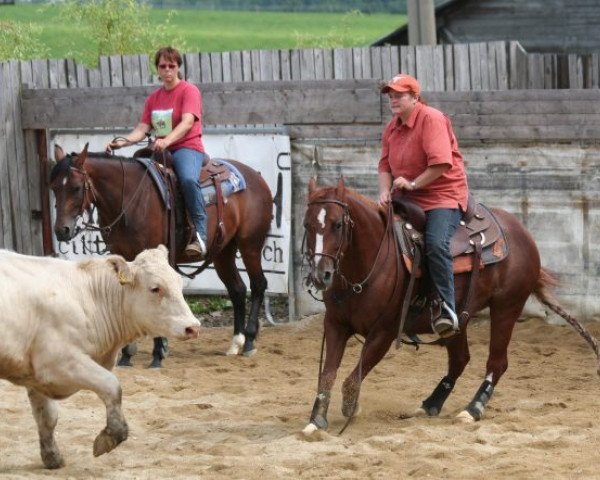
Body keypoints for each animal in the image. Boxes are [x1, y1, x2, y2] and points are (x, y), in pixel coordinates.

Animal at [0, 246, 202, 470]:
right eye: (155, 288)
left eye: (179, 283)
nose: (193, 327)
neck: (88, 299)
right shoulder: (59, 364)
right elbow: (111, 386)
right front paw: (111, 436)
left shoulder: (35, 376)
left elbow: (47, 417)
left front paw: (52, 457)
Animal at [51, 144, 272, 366]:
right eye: (53, 188)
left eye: (76, 188)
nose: (62, 230)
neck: (129, 199)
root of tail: (256, 177)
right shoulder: (122, 256)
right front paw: (126, 355)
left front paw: (158, 353)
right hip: (223, 251)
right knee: (238, 289)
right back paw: (236, 342)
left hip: (250, 245)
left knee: (258, 284)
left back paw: (249, 341)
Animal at [302, 178, 600, 434]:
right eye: (306, 225)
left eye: (337, 224)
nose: (320, 275)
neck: (368, 264)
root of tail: (521, 232)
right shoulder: (335, 325)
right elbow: (327, 373)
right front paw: (316, 420)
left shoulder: (383, 333)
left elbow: (352, 378)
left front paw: (350, 408)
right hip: (460, 318)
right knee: (460, 359)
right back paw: (431, 404)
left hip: (507, 307)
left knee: (497, 362)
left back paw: (473, 408)